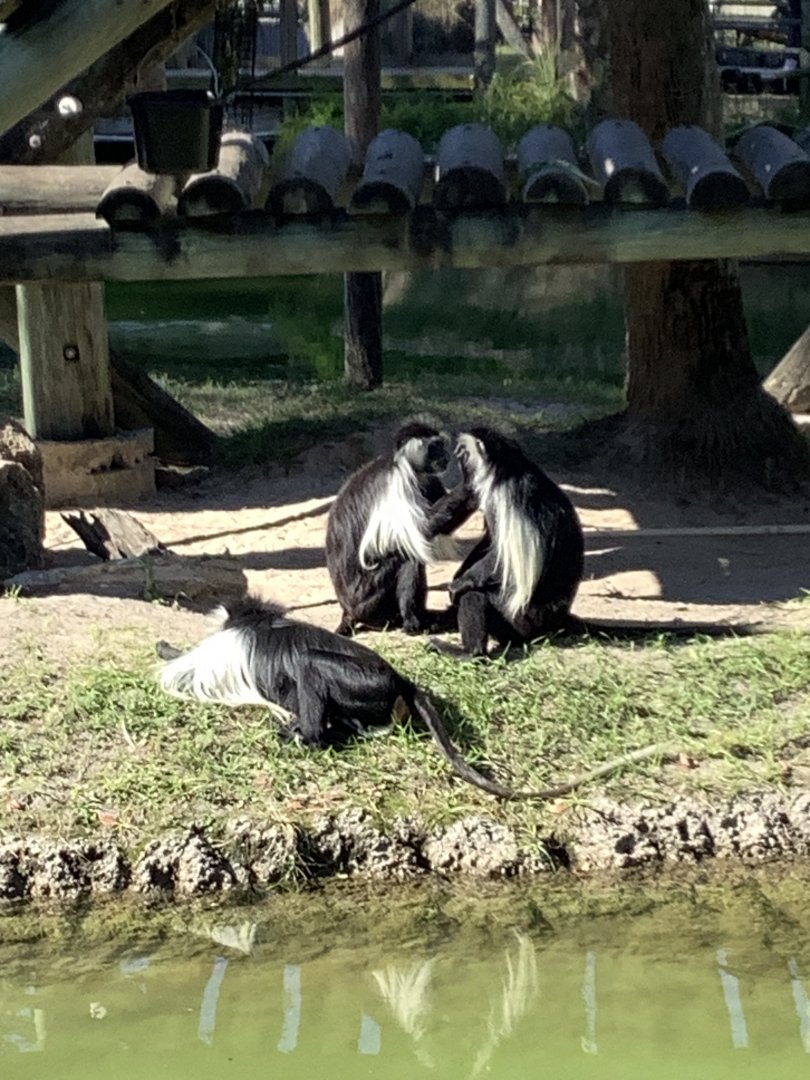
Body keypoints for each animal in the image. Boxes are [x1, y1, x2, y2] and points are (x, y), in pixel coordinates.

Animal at [325, 419, 476, 637]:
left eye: (441, 446)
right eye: (434, 447)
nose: (445, 457)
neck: (405, 464)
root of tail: (347, 610)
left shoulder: (428, 480)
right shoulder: (399, 480)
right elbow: (420, 528)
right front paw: (470, 481)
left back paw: (426, 618)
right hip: (367, 600)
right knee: (407, 557)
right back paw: (412, 624)